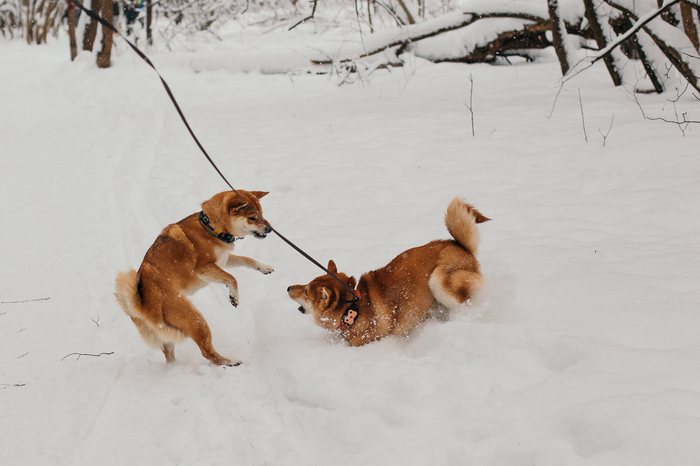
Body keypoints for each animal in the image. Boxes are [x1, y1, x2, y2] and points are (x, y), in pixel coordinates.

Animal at [115, 188, 274, 364]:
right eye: (252, 217)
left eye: (261, 213)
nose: (269, 229)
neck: (211, 227)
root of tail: (142, 305)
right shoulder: (204, 268)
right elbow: (232, 278)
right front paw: (234, 296)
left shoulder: (224, 260)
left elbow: (246, 260)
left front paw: (263, 267)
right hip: (195, 320)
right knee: (207, 352)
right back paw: (230, 362)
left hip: (168, 336)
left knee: (169, 353)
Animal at [288, 198, 490, 348]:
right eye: (306, 285)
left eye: (306, 291)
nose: (288, 288)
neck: (352, 309)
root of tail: (461, 247)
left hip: (439, 280)